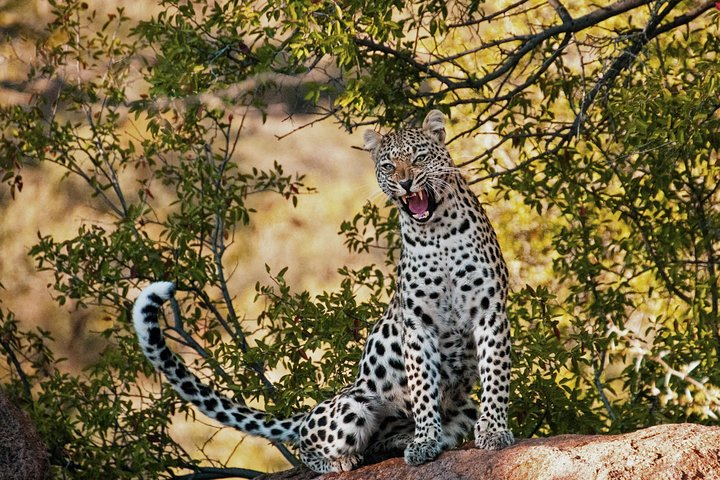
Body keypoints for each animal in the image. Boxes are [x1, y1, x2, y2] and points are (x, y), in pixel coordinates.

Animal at [132, 109, 514, 473]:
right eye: (388, 166)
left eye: (419, 158)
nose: (405, 183)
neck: (437, 232)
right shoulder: (418, 323)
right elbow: (422, 387)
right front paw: (424, 441)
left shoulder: (489, 309)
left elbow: (495, 376)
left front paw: (494, 430)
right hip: (351, 406)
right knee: (308, 446)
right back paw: (345, 459)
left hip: (463, 405)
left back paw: (399, 441)